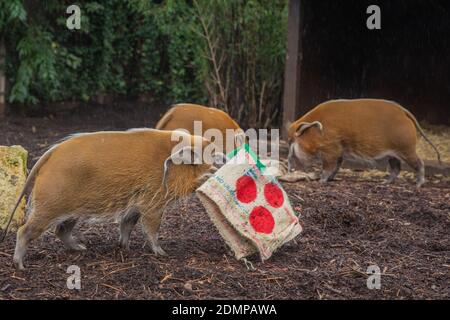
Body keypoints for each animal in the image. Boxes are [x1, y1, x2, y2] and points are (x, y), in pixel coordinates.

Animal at [286, 99, 442, 186]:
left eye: (292, 140)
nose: (289, 168)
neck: (318, 132)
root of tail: (404, 112)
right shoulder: (340, 151)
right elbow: (337, 165)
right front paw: (328, 179)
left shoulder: (332, 149)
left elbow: (329, 166)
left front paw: (321, 181)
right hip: (393, 154)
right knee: (396, 168)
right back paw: (385, 183)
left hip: (406, 149)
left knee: (419, 163)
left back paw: (418, 184)